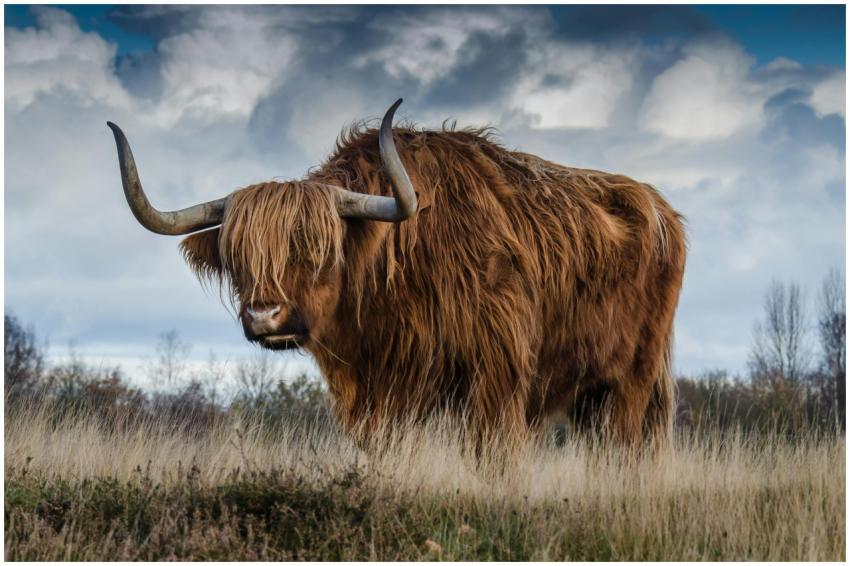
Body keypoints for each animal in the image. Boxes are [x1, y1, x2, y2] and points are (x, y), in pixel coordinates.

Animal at [107, 99, 686, 451]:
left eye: (318, 249)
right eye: (238, 256)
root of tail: (661, 208)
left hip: (632, 379)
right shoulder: (376, 392)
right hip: (592, 391)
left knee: (624, 446)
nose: (264, 315)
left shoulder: (497, 374)